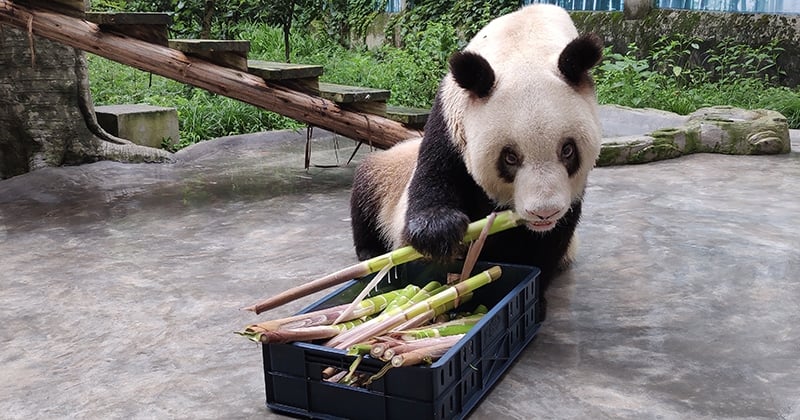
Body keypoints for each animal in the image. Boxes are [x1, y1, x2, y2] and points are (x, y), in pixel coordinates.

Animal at [348, 4, 600, 292]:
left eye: (568, 150)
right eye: (510, 157)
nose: (544, 212)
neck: (524, 33)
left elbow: (548, 242)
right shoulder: (449, 121)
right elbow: (433, 178)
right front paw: (441, 234)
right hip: (383, 179)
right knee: (365, 204)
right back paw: (373, 255)